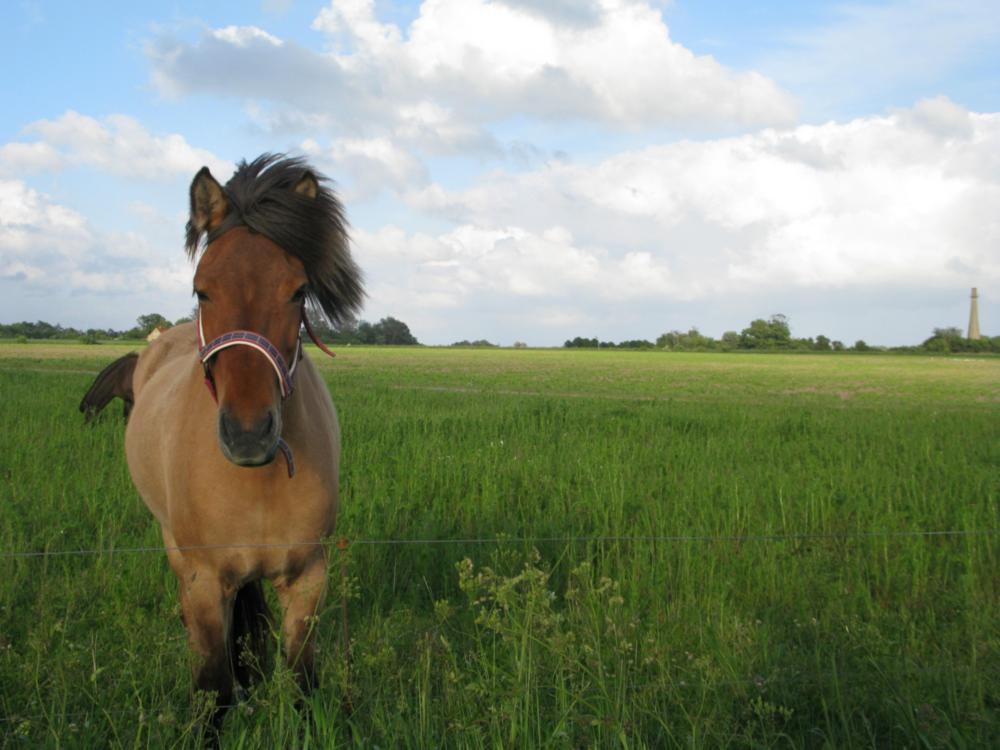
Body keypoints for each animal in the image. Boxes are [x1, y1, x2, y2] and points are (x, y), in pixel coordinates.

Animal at [79, 154, 364, 730]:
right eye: (202, 289)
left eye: (297, 291)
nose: (249, 434)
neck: (259, 481)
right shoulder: (206, 580)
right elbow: (213, 690)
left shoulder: (308, 577)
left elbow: (301, 683)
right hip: (174, 547)